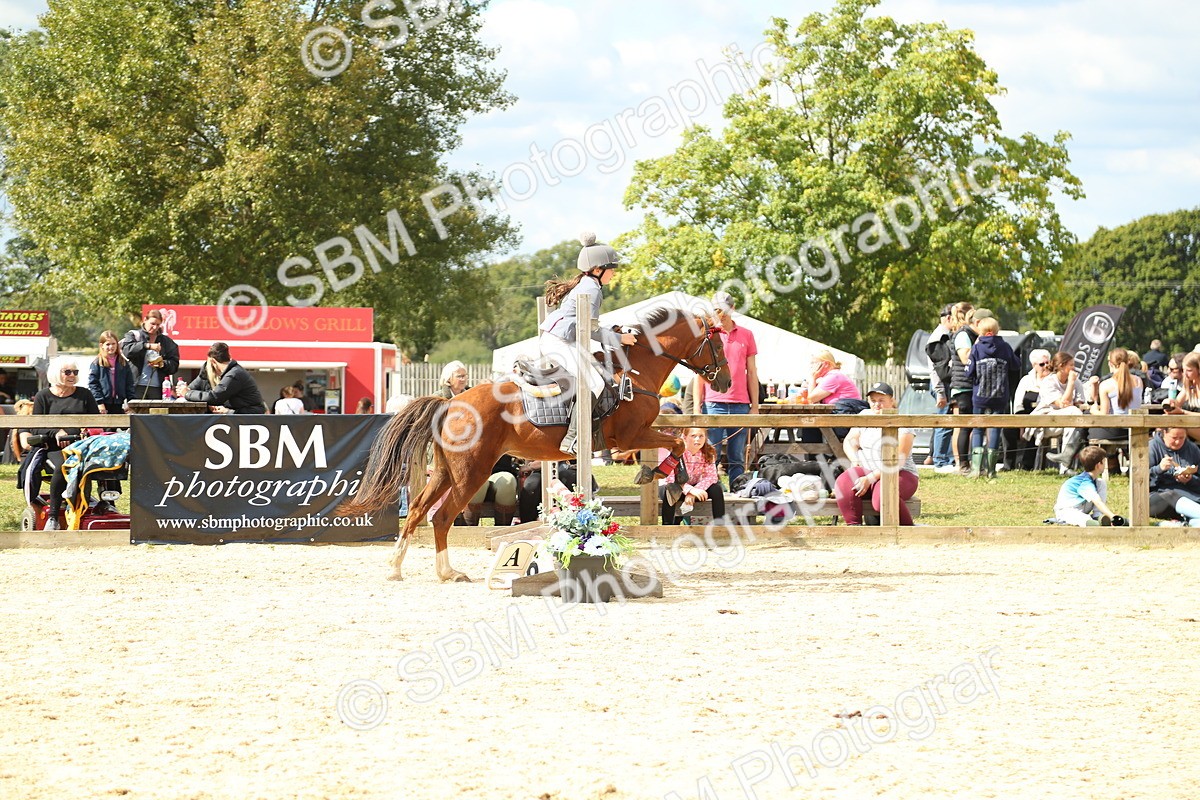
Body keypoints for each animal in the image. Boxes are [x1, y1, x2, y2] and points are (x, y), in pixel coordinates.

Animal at [346, 306, 732, 582]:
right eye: (718, 344)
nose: (726, 381)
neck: (635, 371)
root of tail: (449, 403)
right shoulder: (631, 435)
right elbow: (678, 443)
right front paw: (663, 476)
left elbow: (677, 443)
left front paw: (668, 479)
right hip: (471, 473)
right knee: (441, 518)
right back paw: (447, 573)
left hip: (444, 472)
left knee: (416, 512)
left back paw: (396, 568)